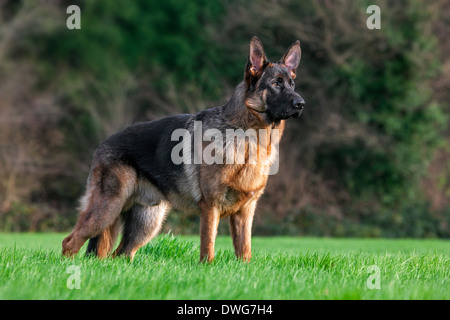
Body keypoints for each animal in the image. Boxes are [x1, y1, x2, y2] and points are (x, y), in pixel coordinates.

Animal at [60, 37, 306, 262]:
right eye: (275, 83)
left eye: (292, 85)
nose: (301, 104)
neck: (247, 137)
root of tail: (104, 143)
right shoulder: (211, 207)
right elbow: (208, 247)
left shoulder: (245, 212)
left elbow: (244, 251)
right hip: (108, 209)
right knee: (70, 242)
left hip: (146, 223)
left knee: (119, 254)